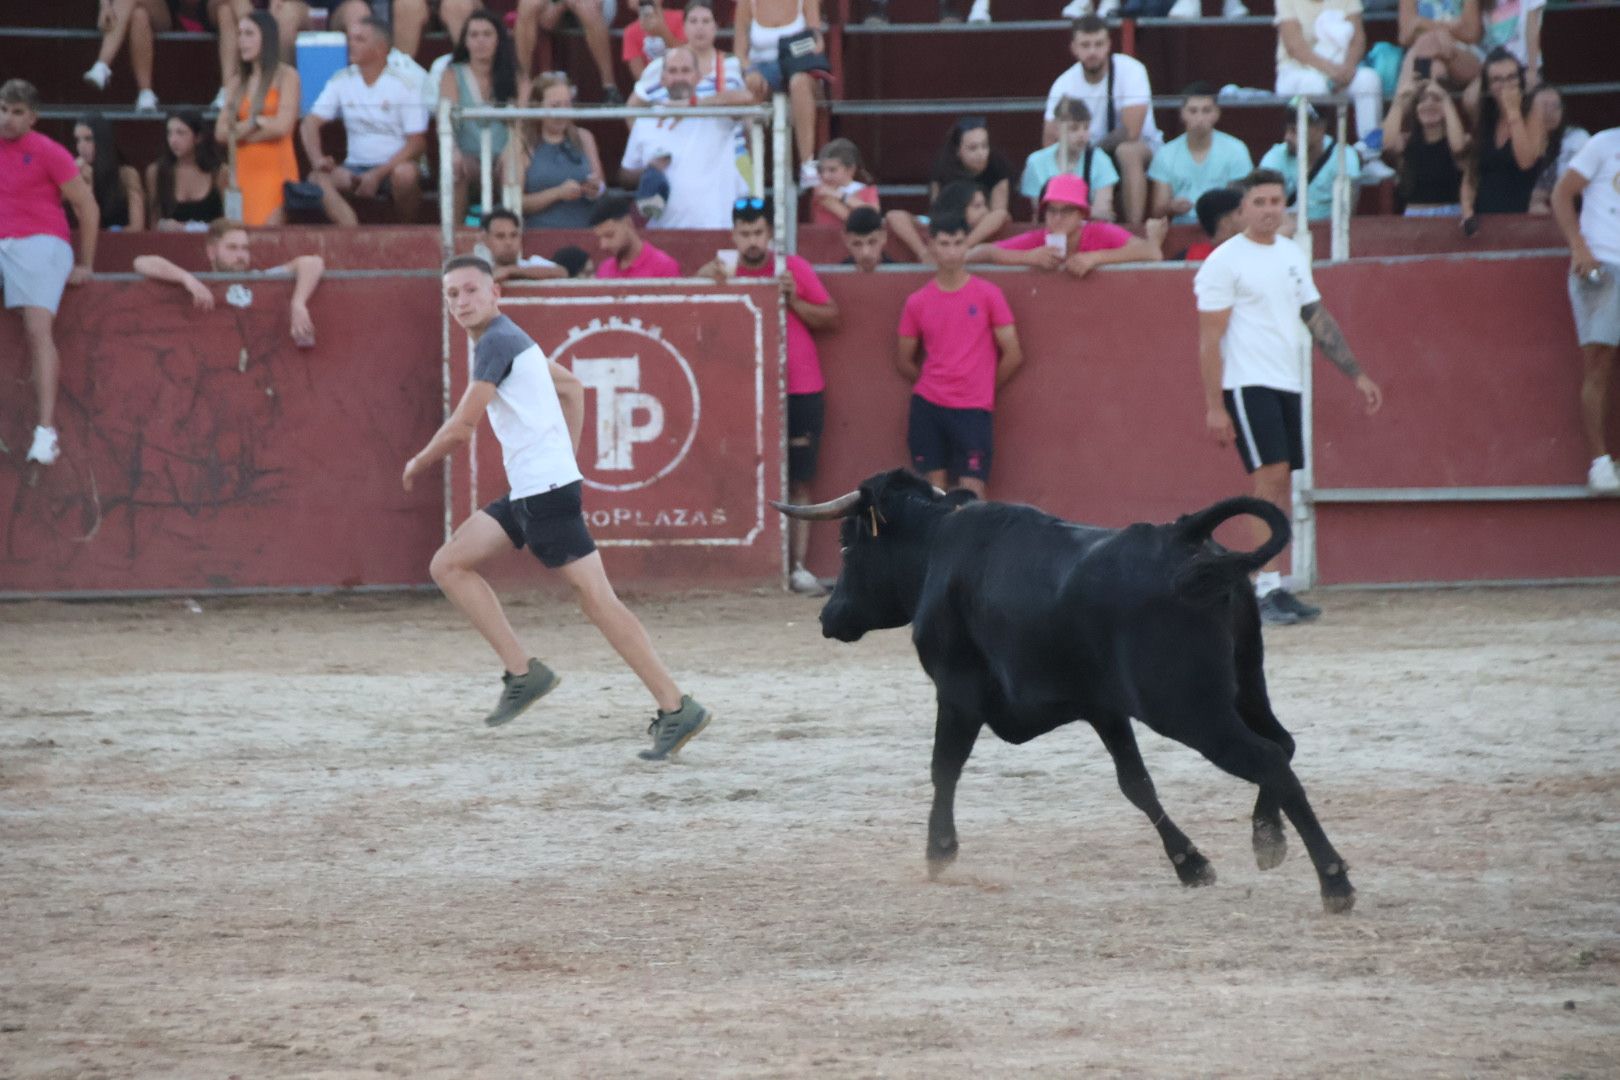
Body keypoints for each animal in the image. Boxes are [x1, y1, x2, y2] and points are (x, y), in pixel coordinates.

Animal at [777, 469, 1360, 919]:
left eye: (848, 542)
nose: (828, 618)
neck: (939, 548)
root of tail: (1182, 535)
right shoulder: (1103, 708)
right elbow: (1136, 784)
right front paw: (1190, 864)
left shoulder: (957, 692)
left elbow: (944, 767)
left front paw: (939, 851)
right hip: (1247, 687)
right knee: (1282, 746)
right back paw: (1268, 840)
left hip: (1191, 710)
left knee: (1267, 759)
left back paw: (1333, 880)